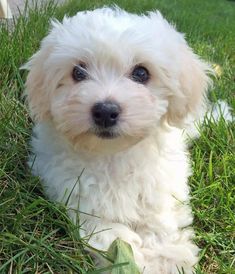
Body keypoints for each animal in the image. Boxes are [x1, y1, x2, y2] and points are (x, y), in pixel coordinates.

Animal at [24, 6, 212, 274]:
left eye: (141, 73)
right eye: (78, 72)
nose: (105, 111)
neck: (114, 153)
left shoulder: (161, 185)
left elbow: (160, 220)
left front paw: (167, 258)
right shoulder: (76, 192)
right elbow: (106, 229)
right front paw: (129, 254)